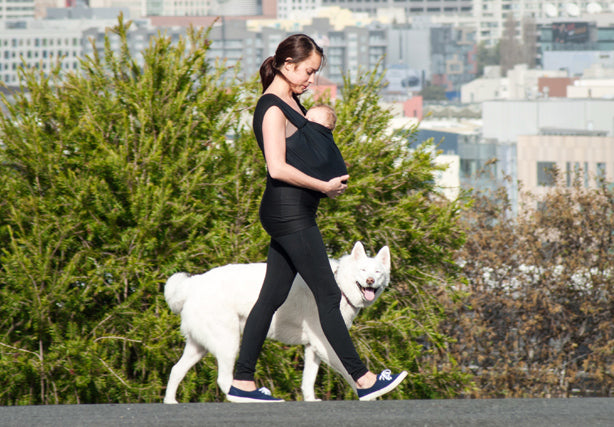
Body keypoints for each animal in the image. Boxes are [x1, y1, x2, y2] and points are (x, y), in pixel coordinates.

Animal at [164, 242, 392, 402]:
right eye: (363, 270)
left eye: (377, 272)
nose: (370, 281)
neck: (340, 285)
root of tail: (193, 284)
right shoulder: (325, 344)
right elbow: (348, 370)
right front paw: (369, 391)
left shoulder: (313, 347)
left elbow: (308, 380)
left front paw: (311, 400)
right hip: (228, 343)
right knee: (224, 380)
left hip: (198, 347)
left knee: (176, 369)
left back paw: (170, 401)